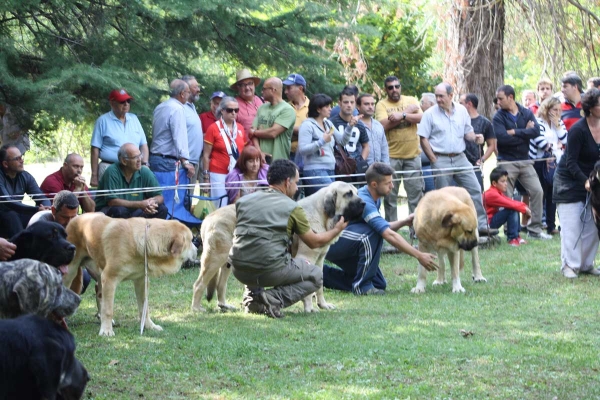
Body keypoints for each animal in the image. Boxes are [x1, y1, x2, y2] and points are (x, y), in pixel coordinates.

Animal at [64, 214, 198, 336]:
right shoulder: (109, 278)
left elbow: (144, 308)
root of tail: (75, 218)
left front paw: (149, 326)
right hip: (71, 271)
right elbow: (108, 310)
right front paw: (106, 330)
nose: (197, 250)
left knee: (99, 292)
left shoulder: (141, 281)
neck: (143, 242)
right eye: (191, 240)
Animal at [191, 180, 366, 312]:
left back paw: (224, 305)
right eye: (348, 194)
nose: (364, 203)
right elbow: (310, 288)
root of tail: (209, 218)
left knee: (220, 285)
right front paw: (309, 307)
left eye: (356, 192)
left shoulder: (320, 260)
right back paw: (196, 308)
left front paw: (322, 305)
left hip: (226, 263)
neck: (322, 215)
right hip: (214, 259)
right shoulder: (306, 258)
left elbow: (320, 286)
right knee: (199, 284)